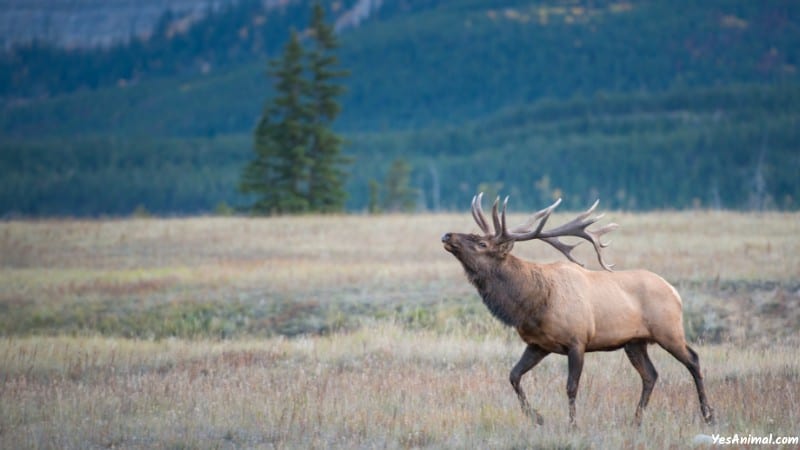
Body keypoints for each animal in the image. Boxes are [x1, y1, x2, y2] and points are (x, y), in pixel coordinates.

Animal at [440, 193, 716, 426]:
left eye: (481, 243)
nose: (447, 235)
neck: (532, 304)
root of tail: (674, 291)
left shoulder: (577, 340)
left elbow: (571, 386)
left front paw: (572, 424)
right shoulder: (538, 344)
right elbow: (513, 375)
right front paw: (537, 417)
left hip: (668, 330)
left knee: (693, 360)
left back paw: (708, 415)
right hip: (634, 342)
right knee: (650, 375)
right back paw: (636, 420)